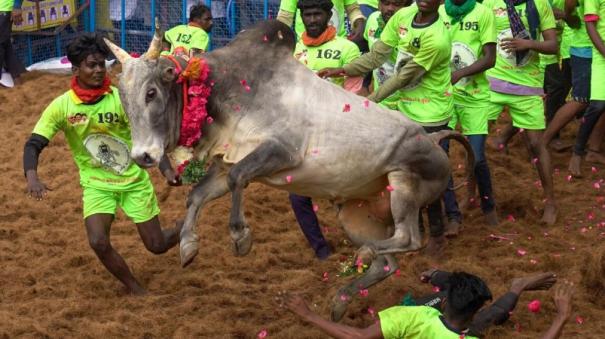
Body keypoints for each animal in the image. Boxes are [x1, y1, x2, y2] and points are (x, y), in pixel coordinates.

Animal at [104, 19, 472, 320]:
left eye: (152, 92)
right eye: (123, 98)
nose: (143, 156)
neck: (223, 88)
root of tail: (434, 138)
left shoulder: (282, 151)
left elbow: (239, 180)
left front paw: (240, 237)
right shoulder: (226, 164)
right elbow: (197, 196)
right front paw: (187, 245)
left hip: (403, 182)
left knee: (409, 239)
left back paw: (362, 260)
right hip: (355, 215)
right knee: (387, 263)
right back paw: (340, 301)